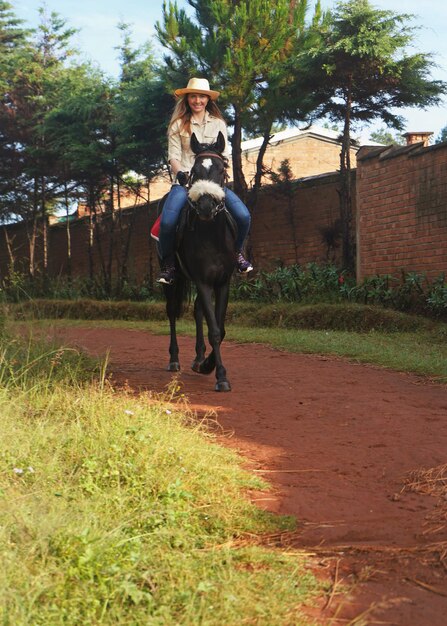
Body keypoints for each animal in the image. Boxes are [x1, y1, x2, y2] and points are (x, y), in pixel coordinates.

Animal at [162, 130, 238, 390]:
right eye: (194, 171)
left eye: (222, 169)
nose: (205, 205)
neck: (211, 234)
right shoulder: (203, 281)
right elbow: (214, 329)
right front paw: (220, 375)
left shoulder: (223, 282)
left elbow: (220, 328)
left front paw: (206, 364)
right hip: (173, 279)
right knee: (172, 311)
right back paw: (174, 359)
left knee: (196, 311)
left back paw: (197, 357)